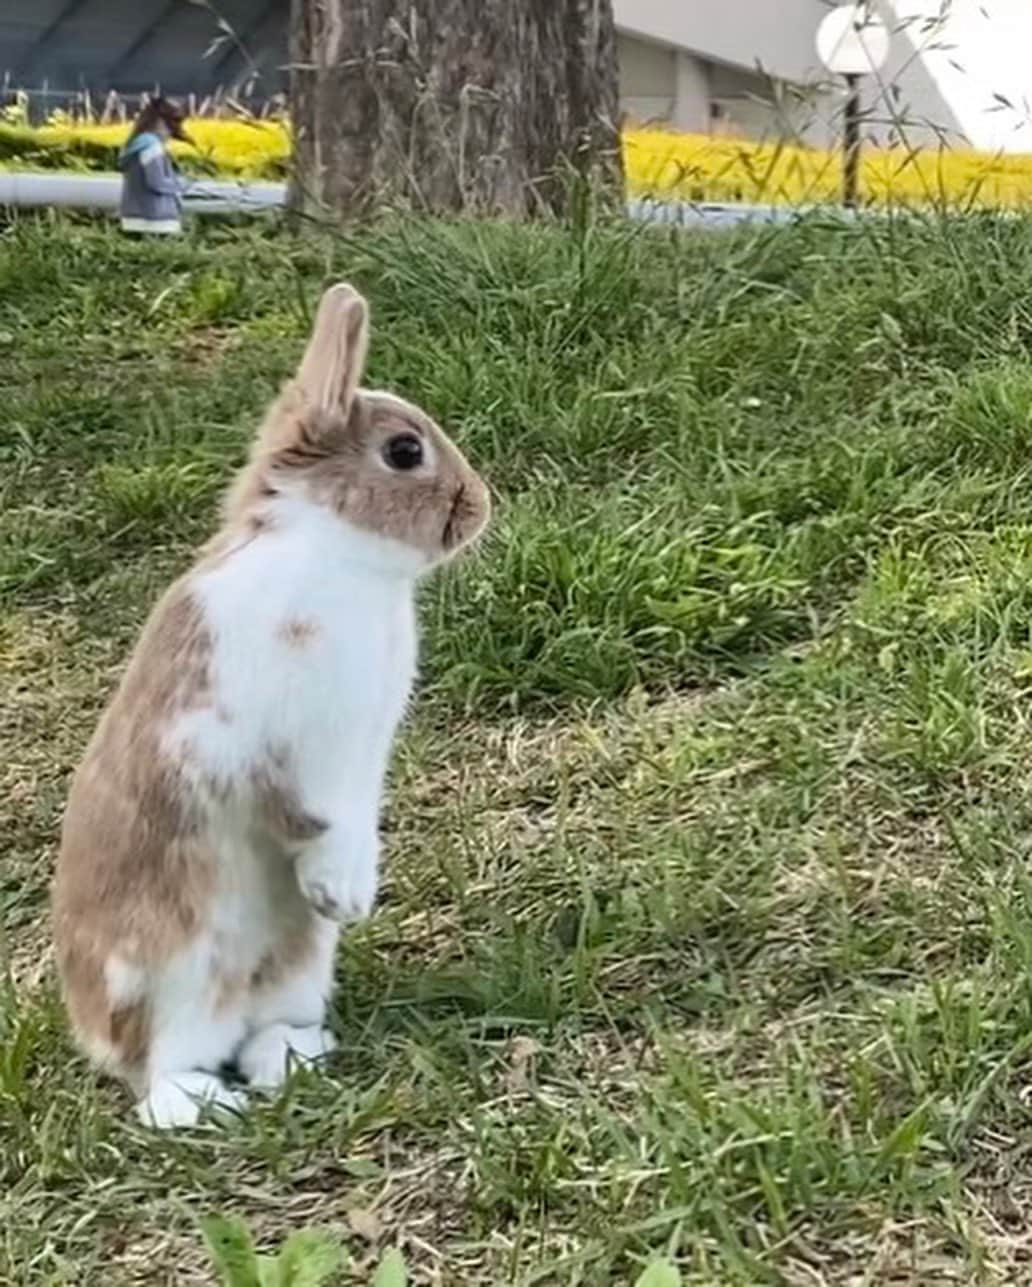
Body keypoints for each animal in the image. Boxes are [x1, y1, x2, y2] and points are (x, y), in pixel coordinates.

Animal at [50, 281, 491, 1127]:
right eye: (404, 451)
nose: (480, 506)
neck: (334, 551)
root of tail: (95, 1034)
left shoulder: (359, 758)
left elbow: (353, 817)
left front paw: (352, 891)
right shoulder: (253, 737)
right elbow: (309, 812)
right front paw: (342, 891)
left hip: (300, 965)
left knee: (263, 1026)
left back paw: (292, 1057)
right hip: (174, 971)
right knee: (163, 1070)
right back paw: (203, 1102)